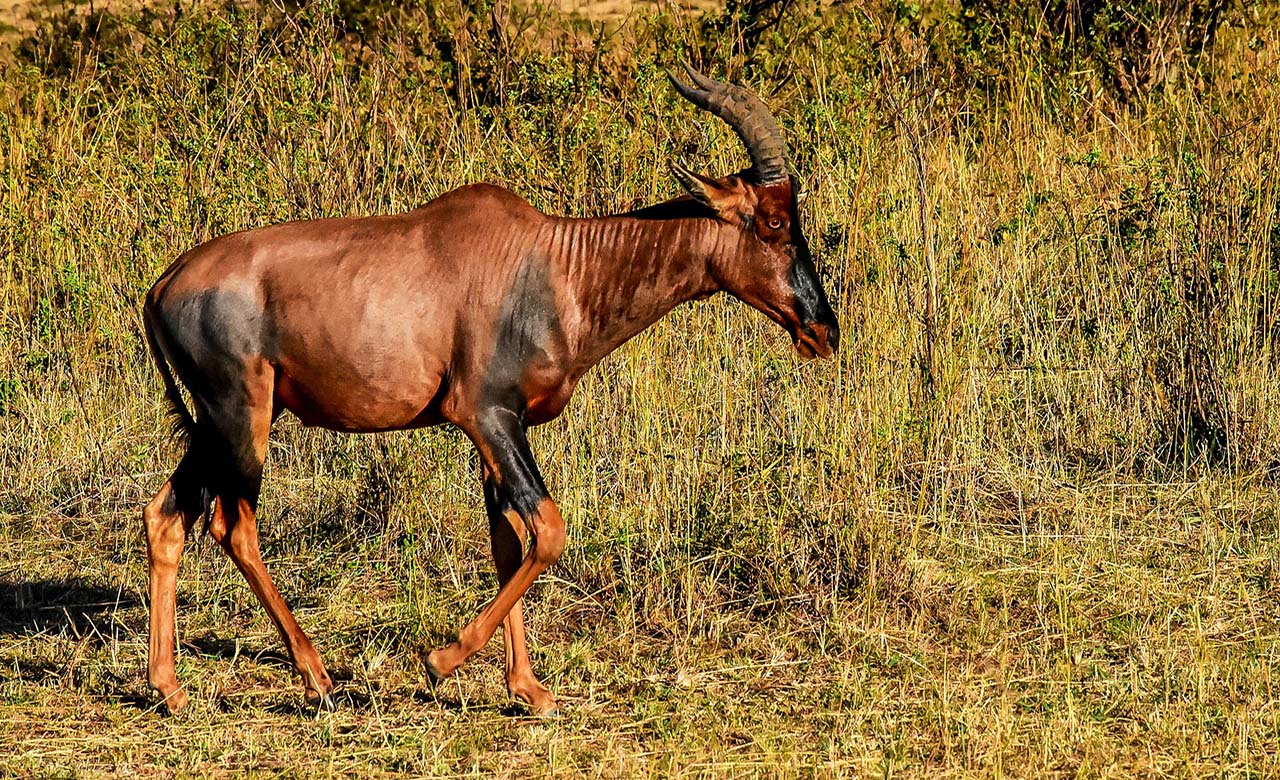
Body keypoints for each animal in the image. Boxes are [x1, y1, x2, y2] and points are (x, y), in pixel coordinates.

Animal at [142, 64, 839, 717]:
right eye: (773, 221)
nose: (823, 330)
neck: (554, 262)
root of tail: (165, 282)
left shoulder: (502, 431)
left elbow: (508, 541)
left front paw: (527, 689)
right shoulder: (486, 415)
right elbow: (549, 529)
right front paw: (440, 660)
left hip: (213, 422)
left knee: (167, 513)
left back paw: (170, 688)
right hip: (243, 415)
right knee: (233, 524)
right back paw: (314, 676)